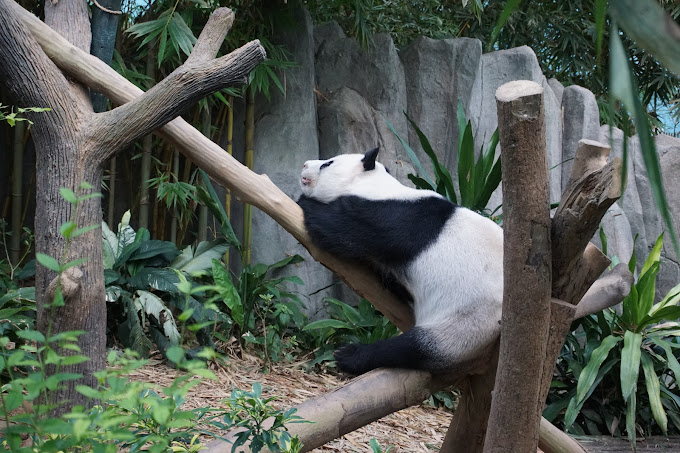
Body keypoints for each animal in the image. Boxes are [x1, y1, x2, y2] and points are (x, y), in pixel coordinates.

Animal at [297, 147, 504, 376]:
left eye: (327, 163)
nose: (305, 164)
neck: (380, 188)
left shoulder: (386, 219)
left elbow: (335, 229)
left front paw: (304, 202)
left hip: (469, 317)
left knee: (416, 348)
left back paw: (351, 355)